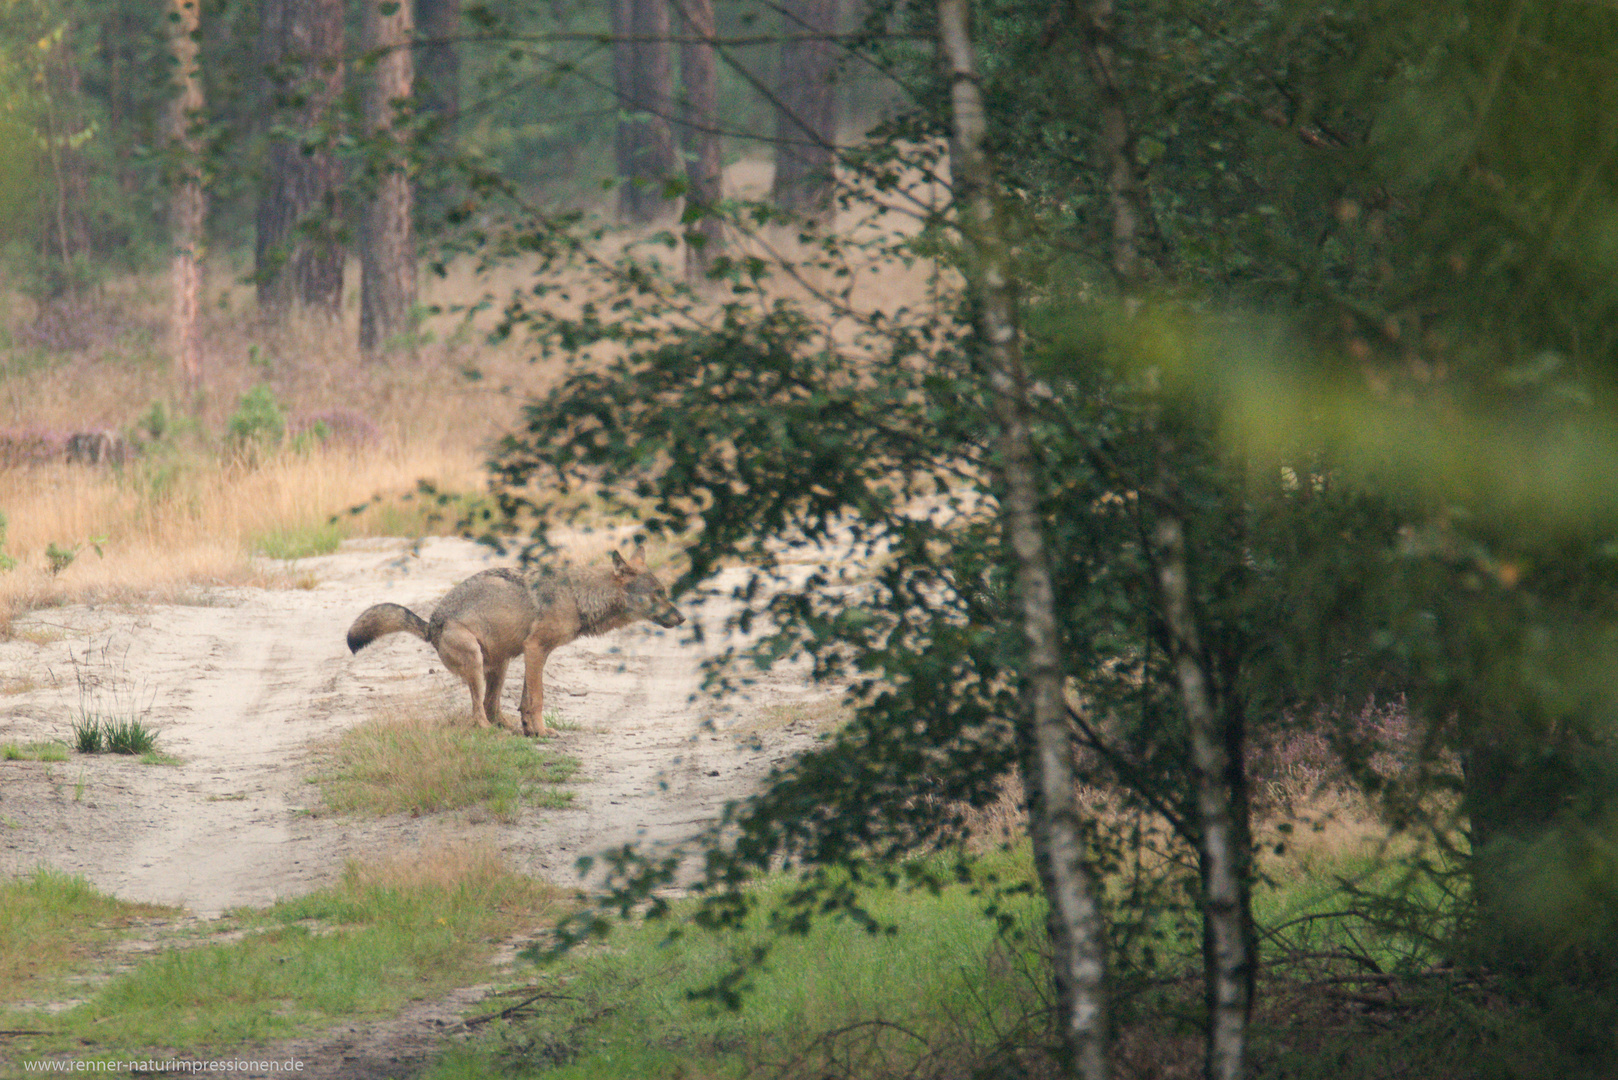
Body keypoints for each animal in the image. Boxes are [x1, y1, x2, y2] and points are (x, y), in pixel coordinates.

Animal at [347, 544, 682, 738]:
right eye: (658, 594)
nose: (682, 619)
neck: (576, 597)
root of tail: (431, 625)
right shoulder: (536, 650)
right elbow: (538, 699)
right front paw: (542, 732)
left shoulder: (532, 654)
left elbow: (525, 701)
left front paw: (530, 730)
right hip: (476, 661)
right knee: (477, 711)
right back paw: (488, 731)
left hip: (502, 663)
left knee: (491, 706)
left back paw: (506, 727)